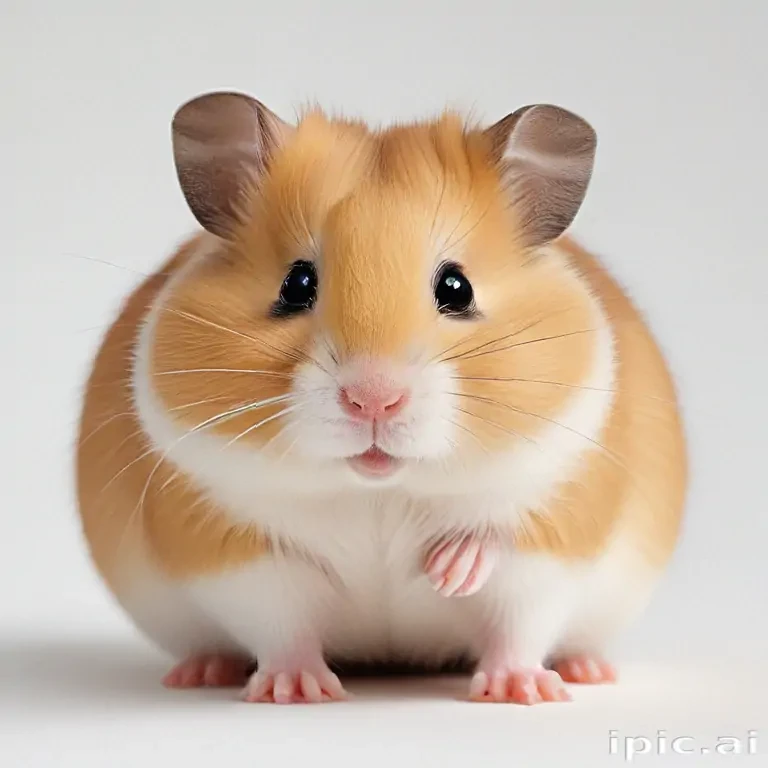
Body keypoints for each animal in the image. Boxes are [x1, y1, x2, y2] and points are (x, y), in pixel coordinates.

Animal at [76, 91, 687, 704]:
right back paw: (201, 672)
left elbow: (514, 604)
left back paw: (586, 671)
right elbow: (280, 625)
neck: (378, 491)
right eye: (297, 284)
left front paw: (487, 633)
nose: (373, 400)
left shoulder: (554, 534)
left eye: (456, 288)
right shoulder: (232, 551)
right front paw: (296, 691)